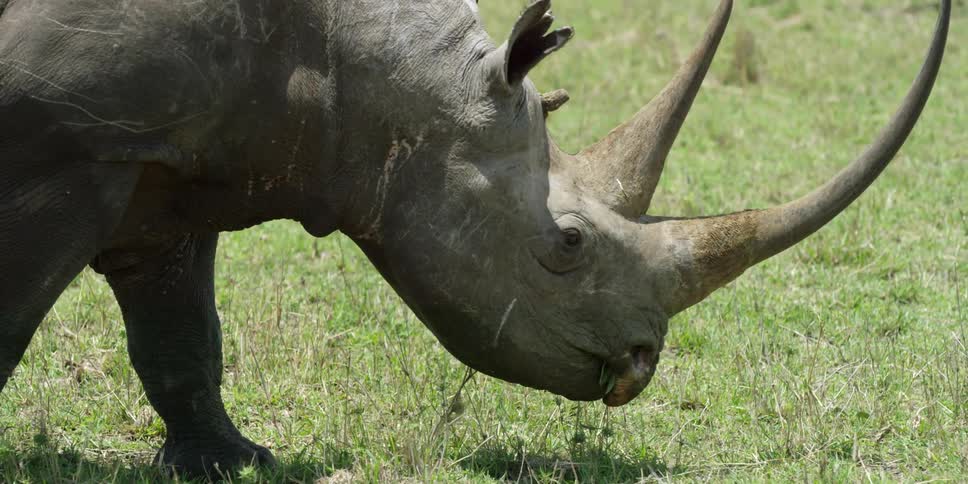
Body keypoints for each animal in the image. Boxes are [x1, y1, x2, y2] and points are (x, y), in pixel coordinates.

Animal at [0, 0, 950, 477]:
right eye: (568, 243)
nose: (641, 363)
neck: (365, 71)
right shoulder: (69, 145)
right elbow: (17, 313)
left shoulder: (166, 153)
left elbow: (183, 332)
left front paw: (234, 464)